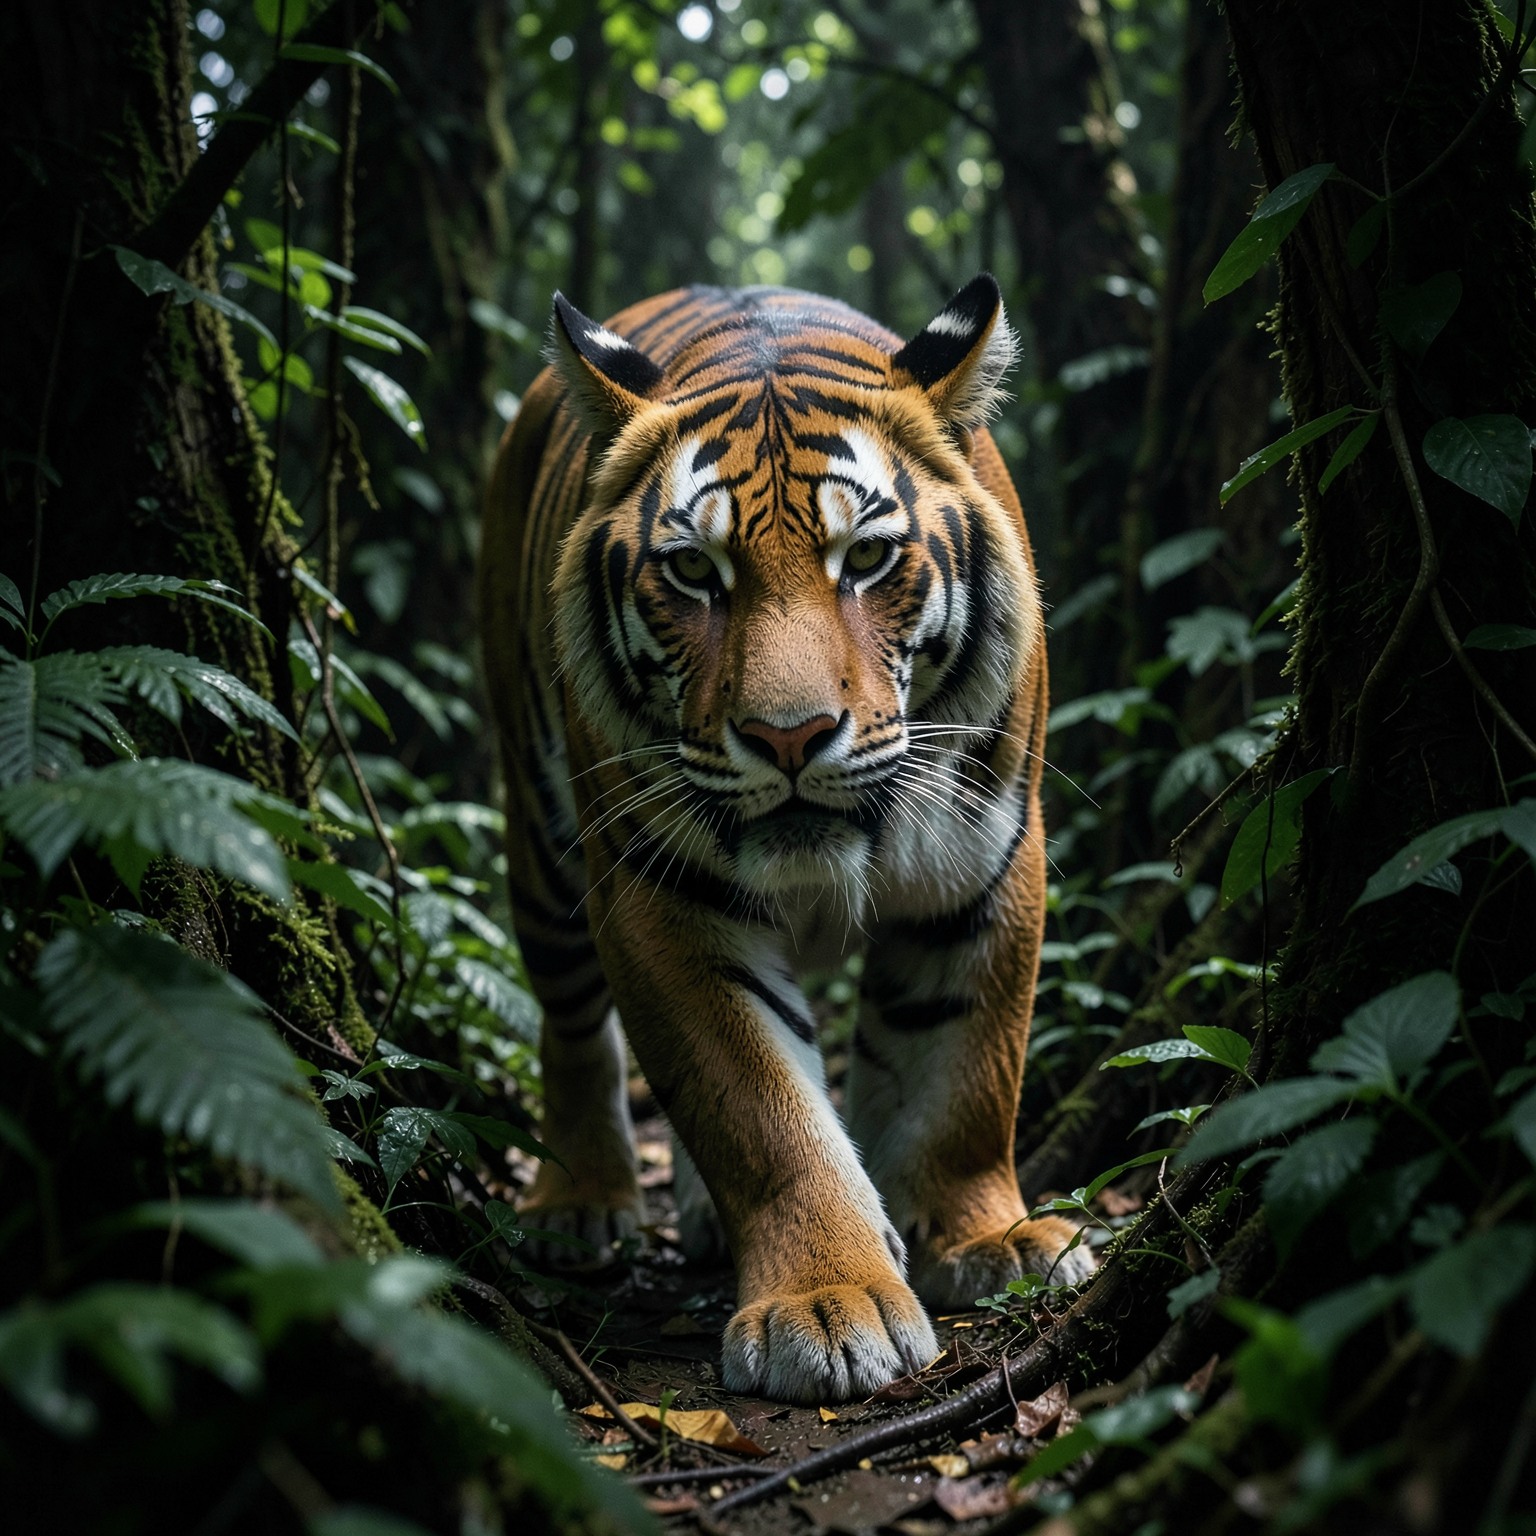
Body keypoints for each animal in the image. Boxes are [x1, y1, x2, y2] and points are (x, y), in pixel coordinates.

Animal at [478, 274, 1091, 1405]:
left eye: (869, 558)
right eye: (693, 572)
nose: (790, 735)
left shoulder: (987, 867)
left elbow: (965, 1073)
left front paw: (984, 1240)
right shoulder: (663, 898)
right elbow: (759, 1109)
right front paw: (827, 1300)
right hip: (541, 836)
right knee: (572, 1022)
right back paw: (579, 1203)